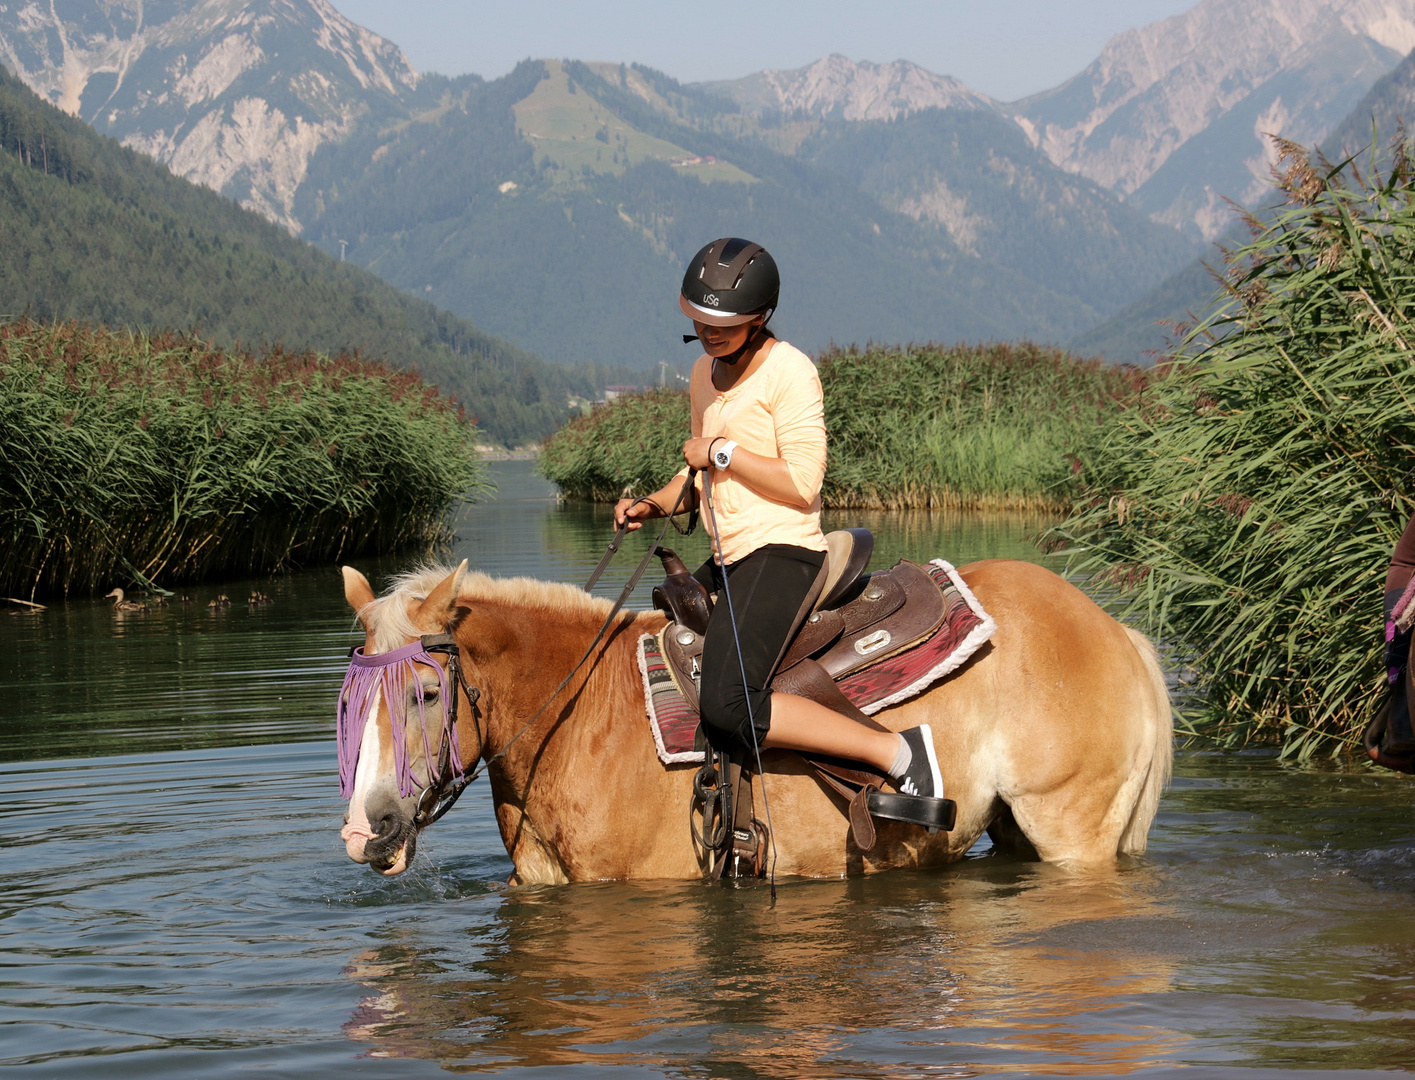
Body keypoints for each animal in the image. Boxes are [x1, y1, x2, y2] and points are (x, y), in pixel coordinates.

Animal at [333, 560, 1171, 883]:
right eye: (347, 703)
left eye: (425, 694)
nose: (367, 829)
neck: (584, 716)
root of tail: (1113, 629)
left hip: (1070, 832)